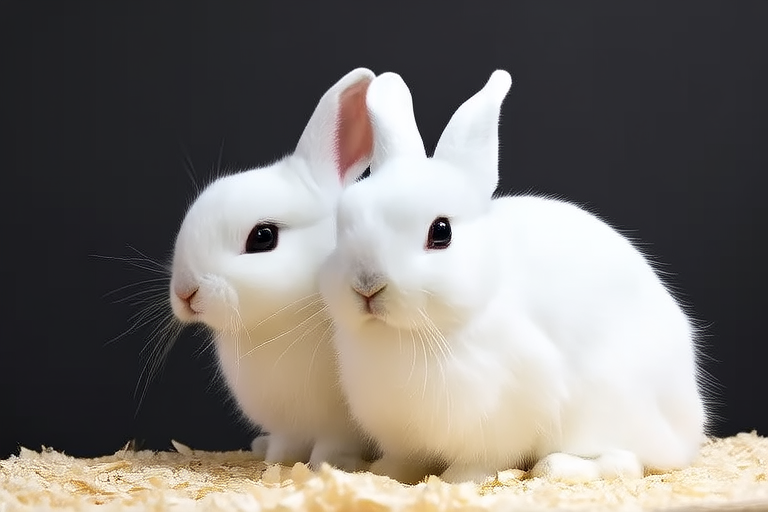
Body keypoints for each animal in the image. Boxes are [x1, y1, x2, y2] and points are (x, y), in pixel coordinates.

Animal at [169, 68, 376, 471]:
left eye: (263, 237)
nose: (186, 292)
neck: (273, 328)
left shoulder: (340, 427)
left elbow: (332, 446)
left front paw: (322, 465)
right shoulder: (288, 425)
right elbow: (286, 443)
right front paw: (277, 462)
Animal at [318, 69, 708, 484]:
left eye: (441, 232)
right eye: (343, 223)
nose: (366, 286)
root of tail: (689, 431)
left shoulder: (505, 413)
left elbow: (485, 458)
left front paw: (457, 480)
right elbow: (404, 460)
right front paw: (382, 473)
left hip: (606, 404)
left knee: (626, 461)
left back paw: (554, 466)